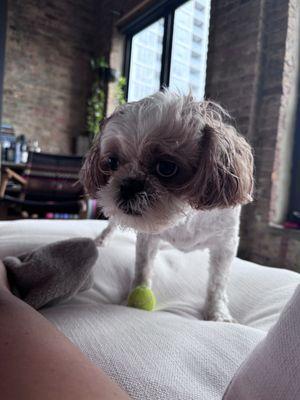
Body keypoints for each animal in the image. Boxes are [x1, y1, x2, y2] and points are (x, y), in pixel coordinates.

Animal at [79, 90, 253, 322]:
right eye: (112, 162)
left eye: (167, 168)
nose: (128, 185)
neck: (182, 217)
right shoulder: (147, 239)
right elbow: (142, 268)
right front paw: (134, 296)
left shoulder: (225, 244)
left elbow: (217, 283)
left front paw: (217, 312)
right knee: (113, 224)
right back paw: (102, 239)